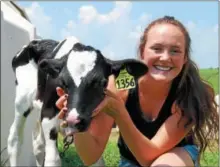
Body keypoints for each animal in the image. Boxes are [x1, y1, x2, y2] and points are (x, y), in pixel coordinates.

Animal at [7, 36, 148, 166]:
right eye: (62, 82)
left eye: (102, 83)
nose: (74, 120)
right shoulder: (47, 114)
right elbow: (53, 160)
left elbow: (96, 159)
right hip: (22, 101)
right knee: (15, 139)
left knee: (38, 145)